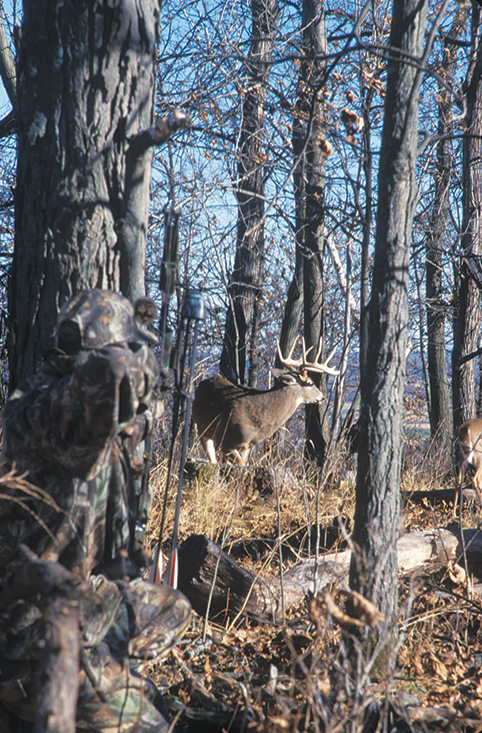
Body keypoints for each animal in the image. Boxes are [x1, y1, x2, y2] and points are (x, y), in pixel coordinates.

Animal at [192, 338, 338, 464]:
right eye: (310, 382)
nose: (322, 397)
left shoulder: (247, 446)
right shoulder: (225, 441)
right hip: (202, 429)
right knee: (212, 460)